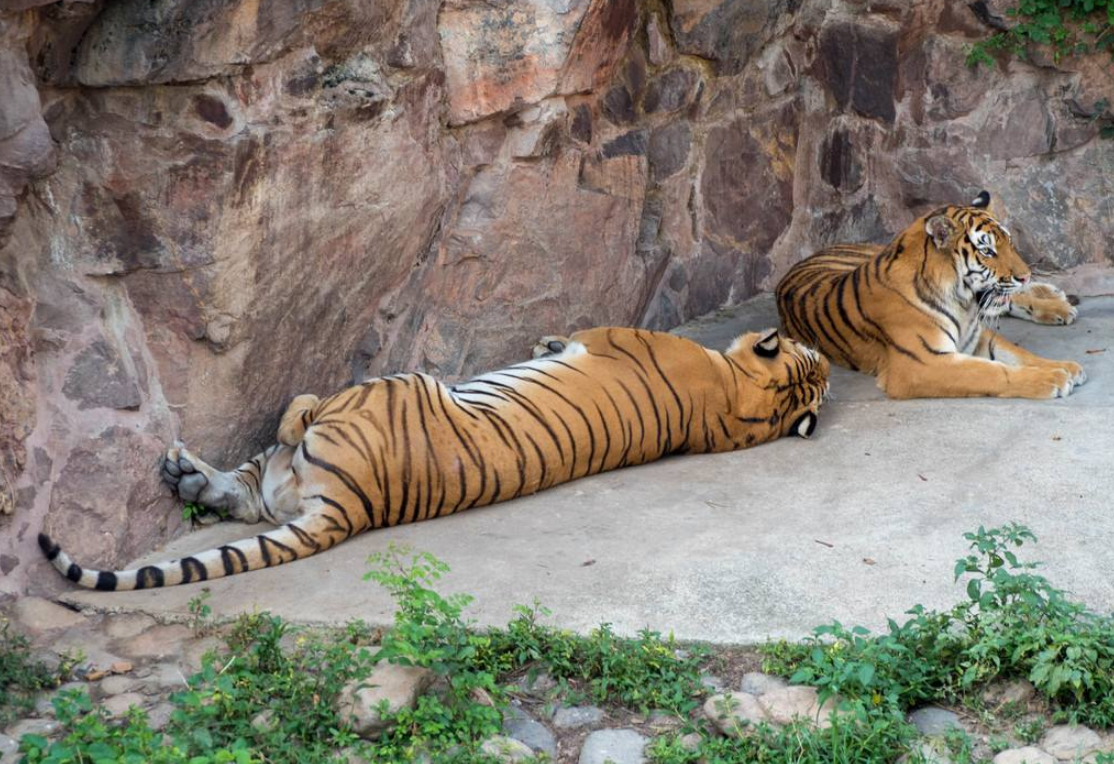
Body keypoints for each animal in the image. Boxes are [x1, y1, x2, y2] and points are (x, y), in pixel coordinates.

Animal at [39, 325, 828, 588]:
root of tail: (352, 509)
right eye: (812, 356)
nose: (816, 350)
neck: (742, 404)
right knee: (245, 490)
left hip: (385, 388)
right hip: (293, 476)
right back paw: (186, 475)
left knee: (291, 428)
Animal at [775, 191, 1087, 400]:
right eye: (988, 251)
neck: (964, 302)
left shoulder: (976, 337)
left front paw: (1066, 367)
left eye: (1009, 242)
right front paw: (1053, 378)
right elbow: (992, 371)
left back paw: (1056, 301)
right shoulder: (921, 364)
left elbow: (1020, 354)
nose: (1025, 275)